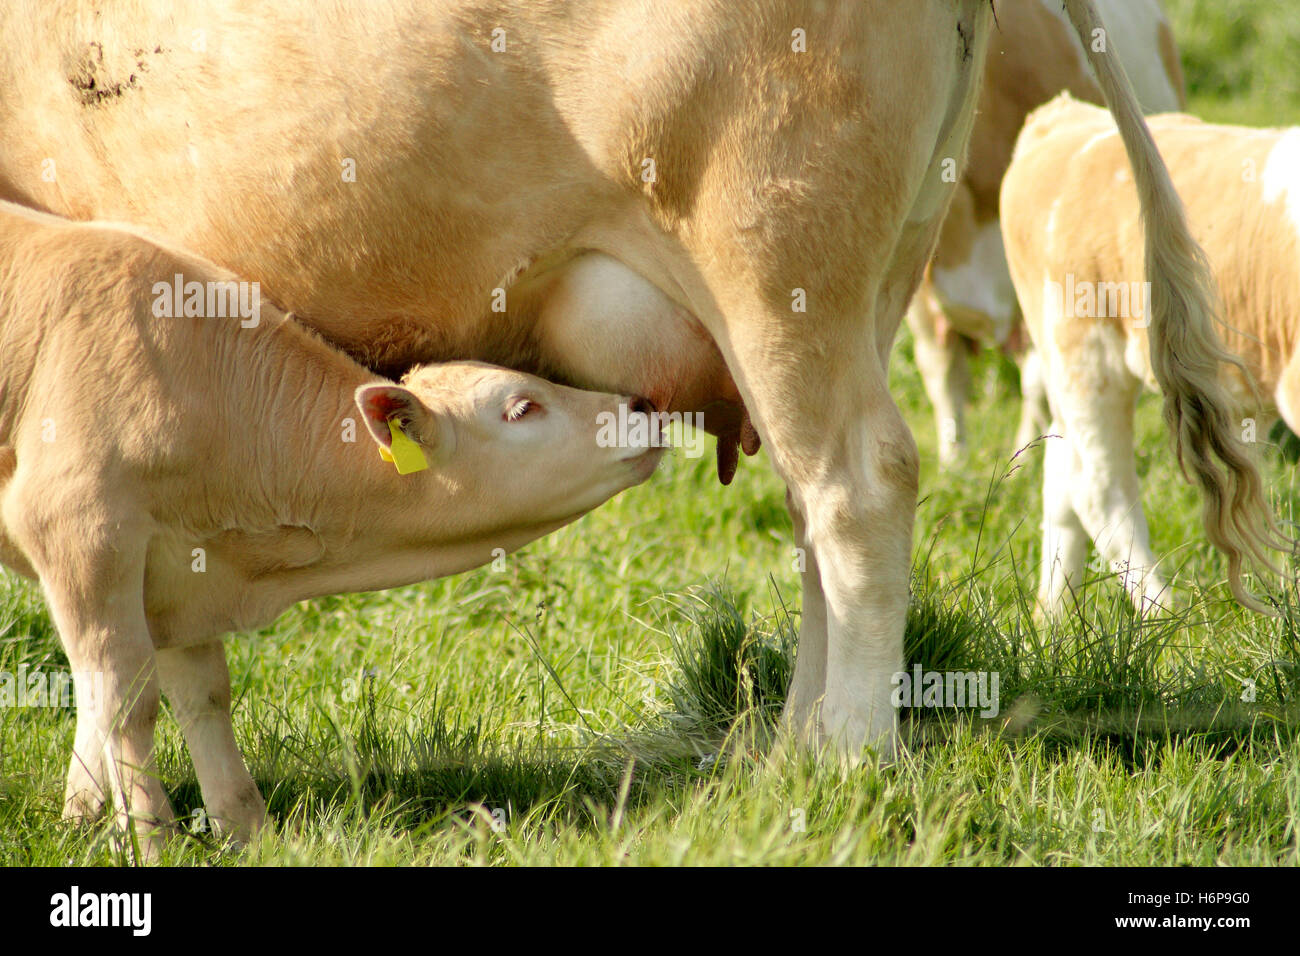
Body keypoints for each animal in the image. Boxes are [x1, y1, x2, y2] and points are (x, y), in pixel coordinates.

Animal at [0, 197, 665, 842]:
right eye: (523, 407)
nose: (643, 405)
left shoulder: (184, 569)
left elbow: (204, 695)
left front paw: (248, 834)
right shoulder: (79, 530)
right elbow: (123, 700)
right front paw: (150, 838)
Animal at [998, 93, 1294, 616]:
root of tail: (1063, 119)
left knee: (1061, 475)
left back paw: (1053, 616)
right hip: (1085, 358)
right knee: (1097, 489)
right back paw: (1167, 616)